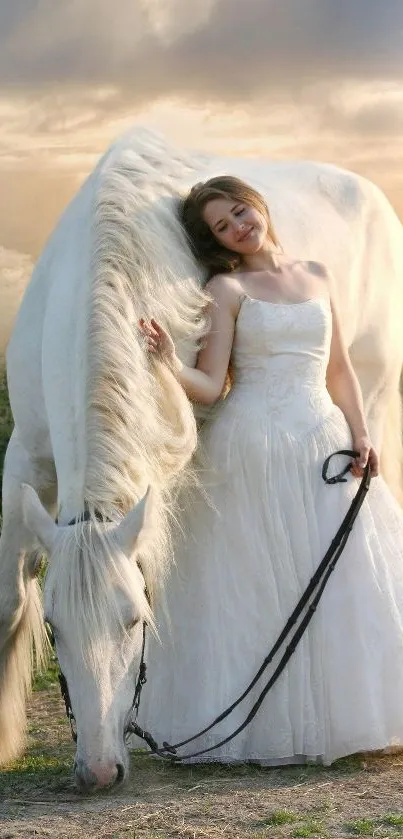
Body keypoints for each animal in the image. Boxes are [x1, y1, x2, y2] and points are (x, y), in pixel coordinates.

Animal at [0, 124, 403, 788]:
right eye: (55, 629)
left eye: (135, 620)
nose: (99, 772)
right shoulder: (25, 462)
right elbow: (9, 604)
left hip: (366, 396)